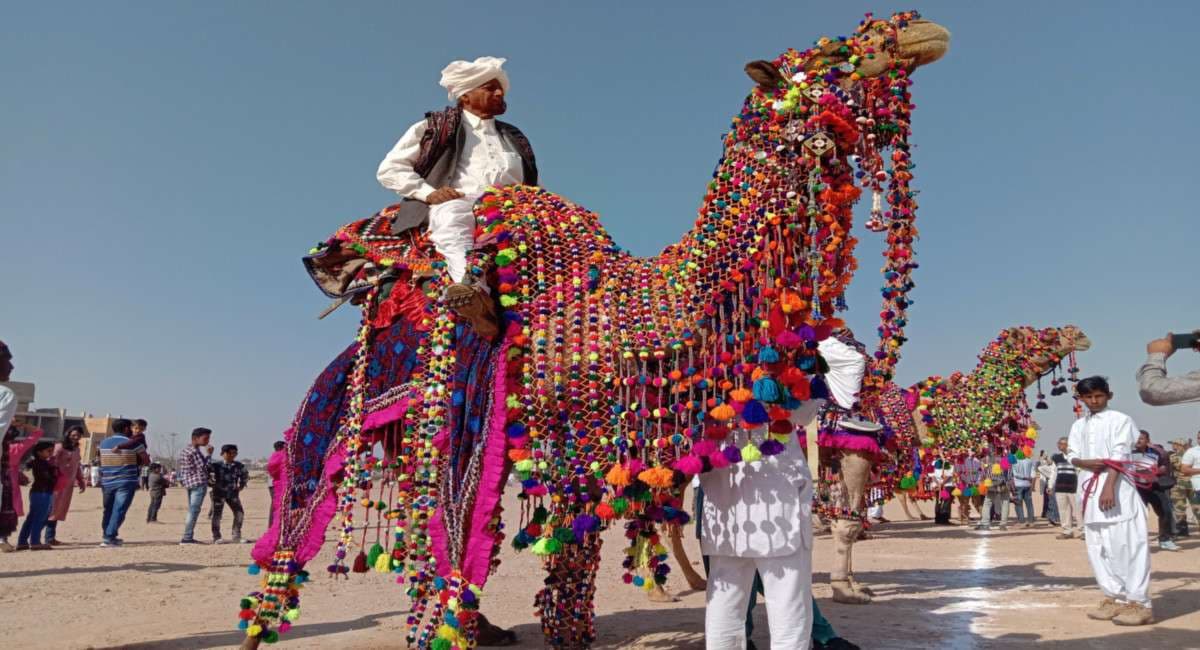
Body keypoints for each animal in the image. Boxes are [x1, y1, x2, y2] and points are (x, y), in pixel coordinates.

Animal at [238, 11, 950, 650]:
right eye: (835, 56)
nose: (920, 29)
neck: (636, 308)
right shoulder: (571, 449)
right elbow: (567, 561)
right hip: (362, 411)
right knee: (324, 515)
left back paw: (480, 628)